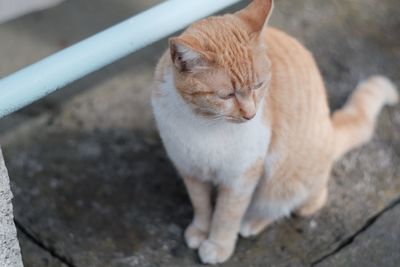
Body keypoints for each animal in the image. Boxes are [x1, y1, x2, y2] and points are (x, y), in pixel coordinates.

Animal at [150, 0, 396, 264]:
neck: (204, 122)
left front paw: (218, 245)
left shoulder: (241, 178)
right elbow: (201, 205)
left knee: (296, 202)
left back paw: (252, 221)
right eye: (226, 95)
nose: (250, 115)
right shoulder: (189, 168)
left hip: (285, 179)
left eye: (258, 85)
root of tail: (329, 133)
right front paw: (200, 230)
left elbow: (226, 215)